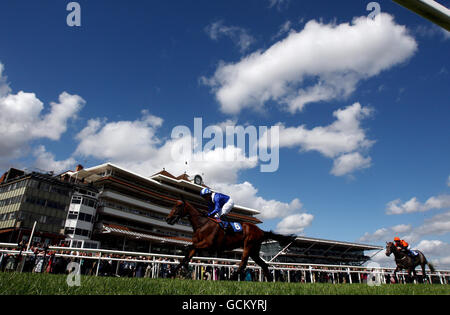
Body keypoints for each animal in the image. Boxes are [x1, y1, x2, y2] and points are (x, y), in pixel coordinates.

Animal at [165, 199, 296, 282]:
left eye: (178, 206)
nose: (168, 219)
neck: (202, 224)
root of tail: (260, 230)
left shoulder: (207, 244)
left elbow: (189, 250)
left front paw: (185, 268)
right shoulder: (198, 244)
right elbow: (185, 257)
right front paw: (172, 273)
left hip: (248, 245)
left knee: (243, 263)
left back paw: (231, 278)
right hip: (254, 250)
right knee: (263, 264)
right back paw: (269, 280)